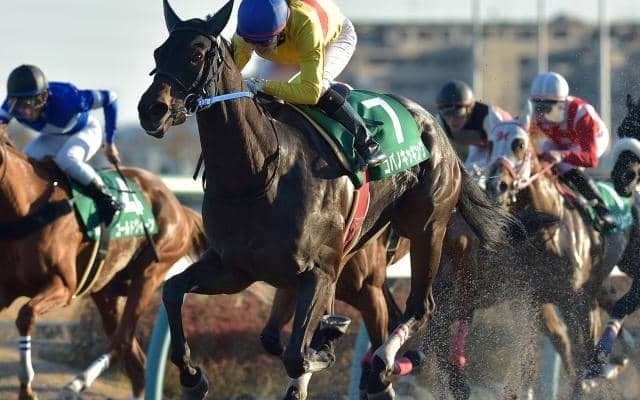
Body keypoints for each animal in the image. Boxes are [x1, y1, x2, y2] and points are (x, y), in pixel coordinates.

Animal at [0, 133, 208, 400]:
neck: (28, 208)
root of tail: (178, 206)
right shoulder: (6, 289)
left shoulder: (63, 287)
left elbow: (26, 315)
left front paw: (27, 390)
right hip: (107, 291)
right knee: (134, 360)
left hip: (149, 271)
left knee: (122, 341)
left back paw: (75, 384)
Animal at [137, 2, 515, 399]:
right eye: (158, 53)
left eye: (196, 55)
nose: (151, 109)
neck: (257, 175)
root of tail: (433, 125)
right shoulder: (234, 268)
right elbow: (173, 290)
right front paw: (193, 376)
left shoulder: (318, 272)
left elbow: (297, 355)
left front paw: (326, 345)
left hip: (427, 230)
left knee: (420, 308)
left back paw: (384, 361)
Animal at [483, 118, 640, 398]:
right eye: (490, 142)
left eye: (518, 144)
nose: (495, 185)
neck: (548, 234)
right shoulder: (531, 300)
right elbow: (546, 348)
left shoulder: (575, 299)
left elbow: (581, 354)